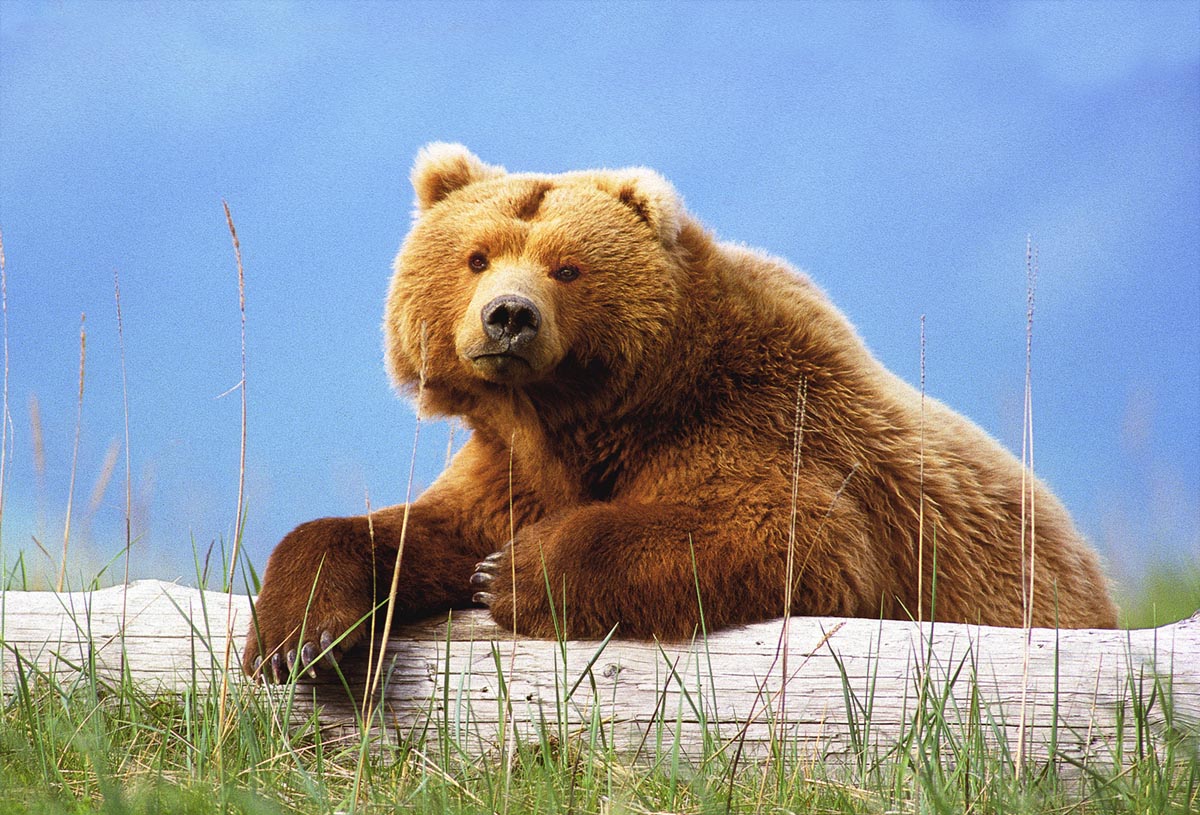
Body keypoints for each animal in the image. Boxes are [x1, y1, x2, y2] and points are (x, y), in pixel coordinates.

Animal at [242, 143, 1117, 682]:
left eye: (568, 266)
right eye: (476, 256)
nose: (508, 317)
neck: (583, 418)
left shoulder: (762, 418)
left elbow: (778, 531)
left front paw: (513, 572)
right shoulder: (508, 462)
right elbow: (409, 529)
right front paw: (300, 640)